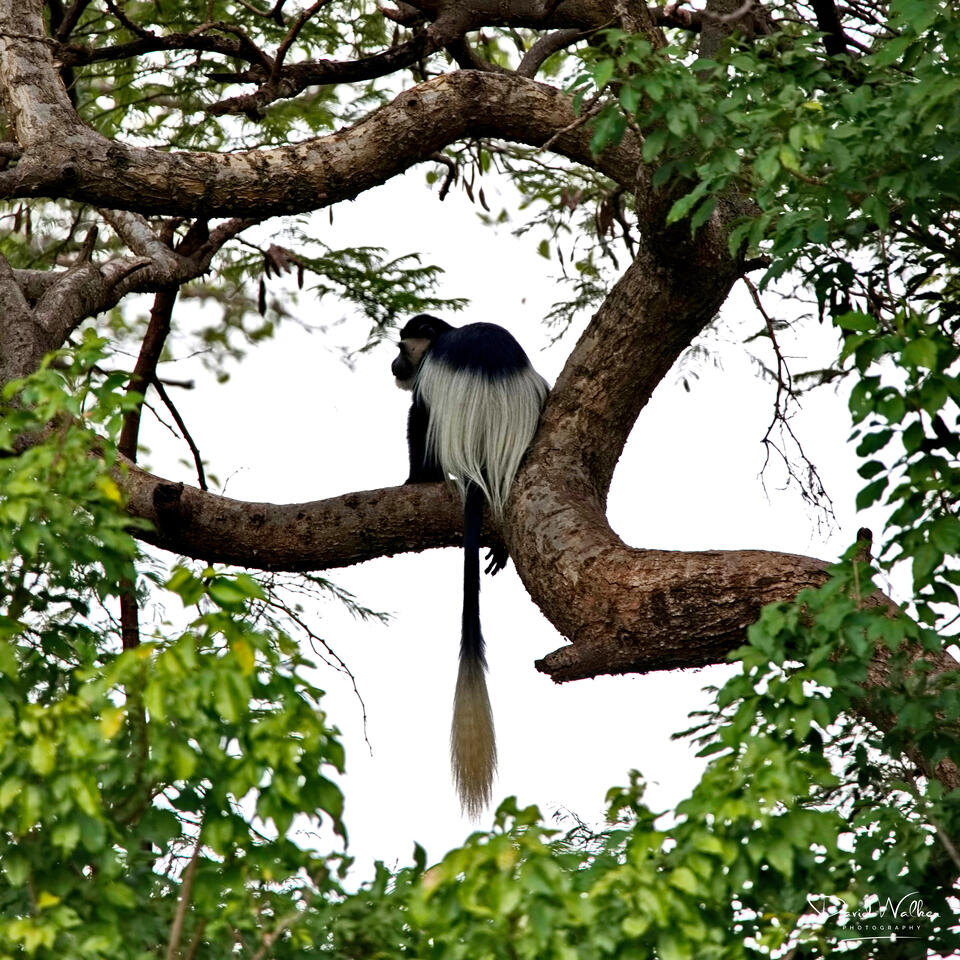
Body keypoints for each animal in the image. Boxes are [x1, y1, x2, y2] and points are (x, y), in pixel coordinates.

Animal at [392, 314, 549, 817]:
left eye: (402, 346)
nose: (394, 365)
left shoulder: (428, 376)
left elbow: (417, 416)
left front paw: (413, 478)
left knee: (422, 421)